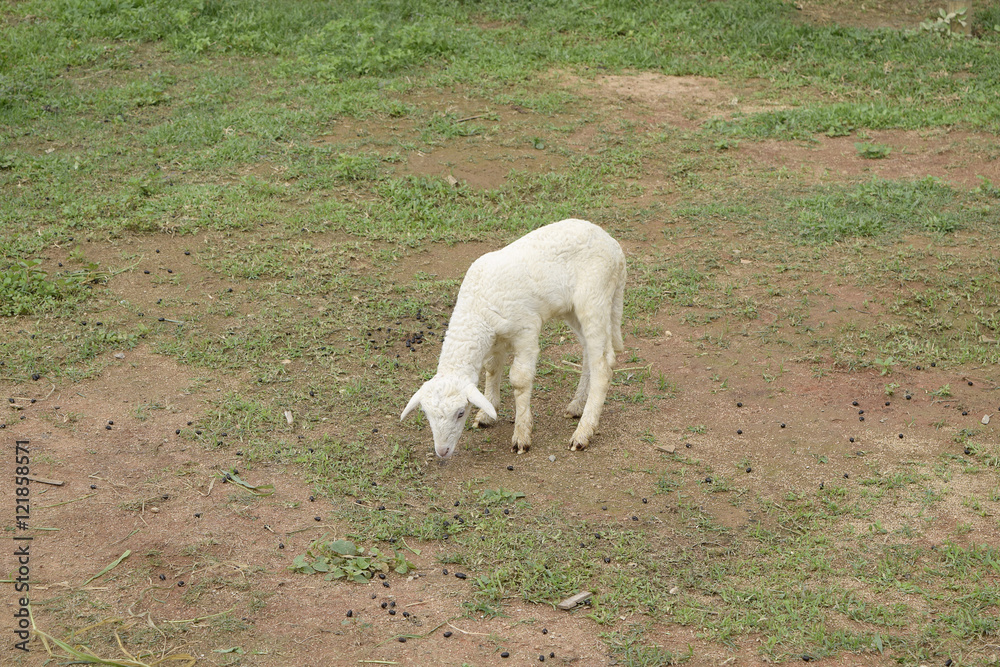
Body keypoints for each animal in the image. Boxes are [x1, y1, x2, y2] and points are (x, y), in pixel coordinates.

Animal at [400, 218, 626, 459]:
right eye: (427, 415)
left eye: (460, 413)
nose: (442, 451)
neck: (477, 306)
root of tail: (615, 247)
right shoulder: (494, 340)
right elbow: (491, 368)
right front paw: (487, 412)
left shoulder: (526, 331)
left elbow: (520, 380)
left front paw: (522, 435)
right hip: (572, 309)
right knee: (588, 351)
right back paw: (576, 405)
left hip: (594, 297)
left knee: (603, 366)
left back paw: (583, 432)